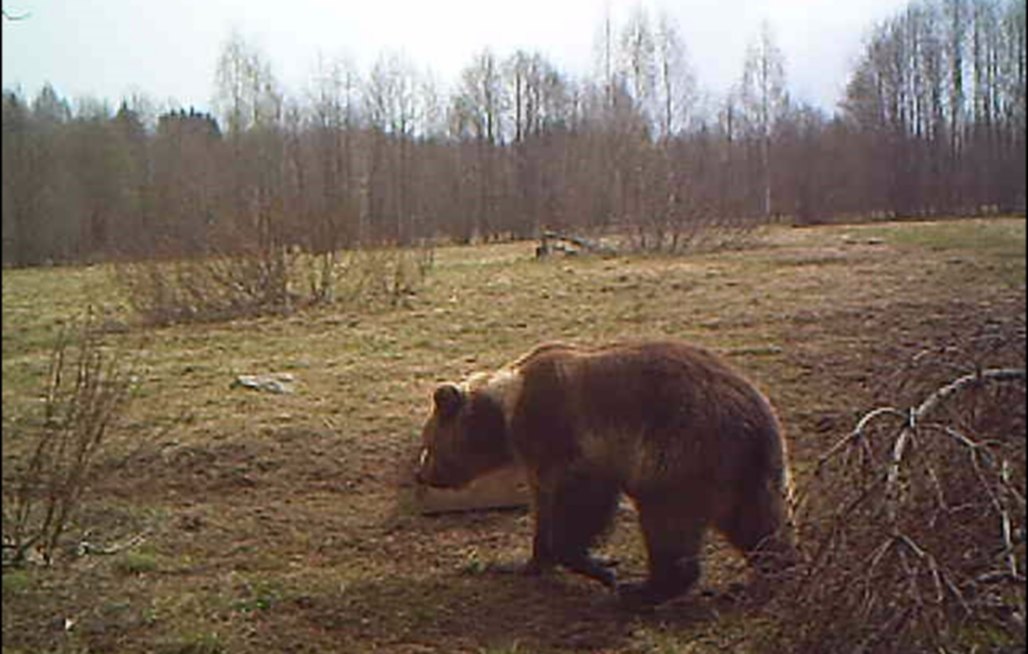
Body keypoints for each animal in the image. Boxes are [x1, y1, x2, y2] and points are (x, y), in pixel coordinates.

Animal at [413, 341, 797, 608]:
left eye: (428, 443)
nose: (423, 474)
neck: (505, 416)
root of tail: (755, 416)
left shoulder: (566, 435)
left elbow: (580, 503)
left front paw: (600, 567)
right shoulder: (538, 461)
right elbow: (544, 511)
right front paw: (525, 562)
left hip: (683, 450)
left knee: (668, 521)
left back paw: (641, 590)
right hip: (747, 468)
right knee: (760, 523)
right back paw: (774, 571)